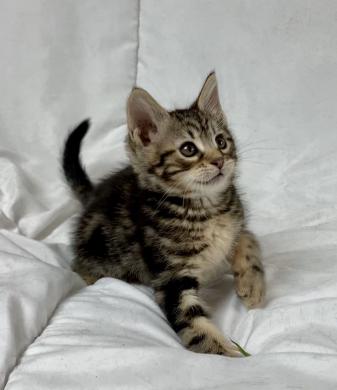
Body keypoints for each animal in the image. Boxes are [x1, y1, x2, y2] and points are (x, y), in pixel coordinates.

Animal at [61, 72, 264, 356]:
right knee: (79, 265)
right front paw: (232, 355)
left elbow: (249, 239)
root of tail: (94, 195)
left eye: (221, 142)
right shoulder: (171, 277)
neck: (206, 207)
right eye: (188, 149)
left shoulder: (235, 223)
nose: (219, 161)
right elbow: (193, 324)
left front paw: (252, 285)